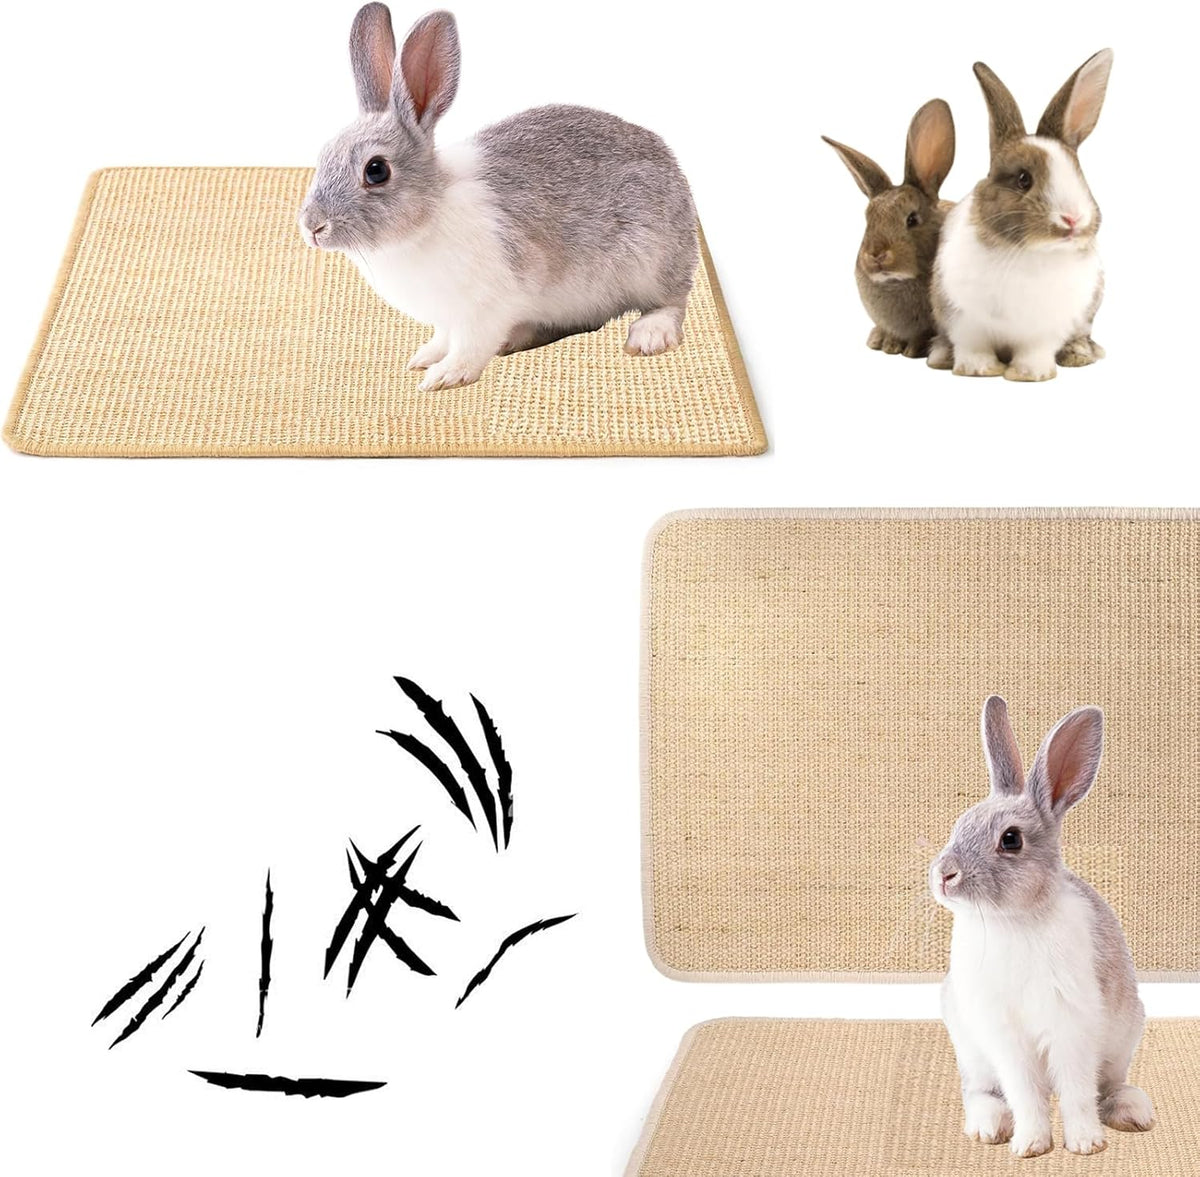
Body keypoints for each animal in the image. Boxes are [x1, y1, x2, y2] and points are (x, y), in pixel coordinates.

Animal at [298, 5, 698, 391]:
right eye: (324, 153)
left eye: (376, 170)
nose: (312, 227)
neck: (428, 215)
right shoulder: (448, 318)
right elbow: (443, 337)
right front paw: (424, 357)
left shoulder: (485, 307)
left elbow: (470, 346)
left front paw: (446, 376)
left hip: (652, 262)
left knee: (673, 301)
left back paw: (649, 334)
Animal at [929, 696, 1155, 1159]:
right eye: (959, 823)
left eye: (1011, 839)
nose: (944, 875)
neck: (1014, 920)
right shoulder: (1005, 1036)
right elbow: (1025, 1093)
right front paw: (1030, 1145)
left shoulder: (1072, 1025)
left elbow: (1076, 1091)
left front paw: (1085, 1143)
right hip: (970, 1047)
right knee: (980, 1092)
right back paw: (988, 1127)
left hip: (1124, 1037)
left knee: (1107, 1087)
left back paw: (1134, 1112)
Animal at [930, 51, 1113, 381]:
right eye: (1023, 179)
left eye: (1080, 175)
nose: (1072, 220)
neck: (1030, 253)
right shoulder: (962, 319)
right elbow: (973, 347)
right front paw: (978, 370)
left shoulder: (1046, 327)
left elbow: (1035, 350)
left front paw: (1032, 374)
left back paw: (1079, 354)